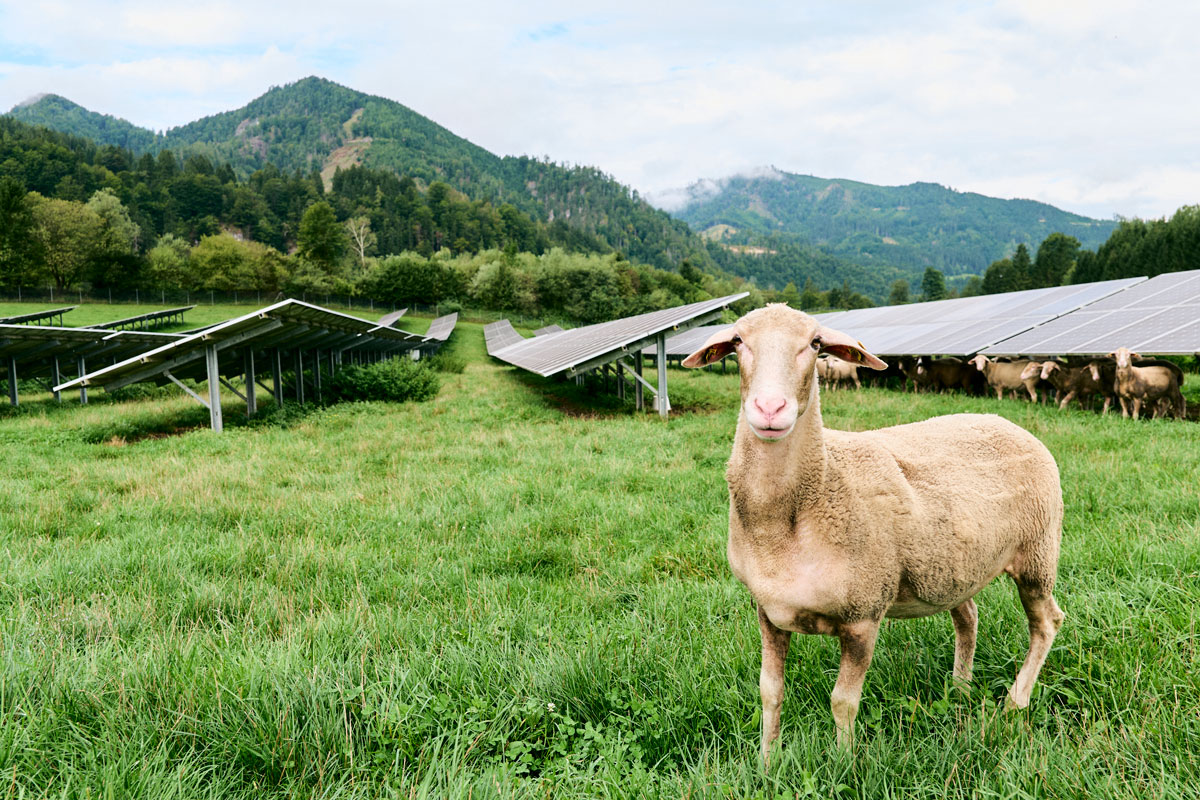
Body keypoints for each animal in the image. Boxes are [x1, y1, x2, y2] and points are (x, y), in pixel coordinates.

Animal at [682, 304, 1065, 760]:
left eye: (815, 344)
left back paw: (1015, 701)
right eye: (738, 341)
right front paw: (766, 762)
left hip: (1038, 552)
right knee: (968, 616)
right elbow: (770, 692)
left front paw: (844, 763)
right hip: (953, 566)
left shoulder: (863, 616)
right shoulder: (768, 611)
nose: (770, 408)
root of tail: (1007, 422)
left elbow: (842, 702)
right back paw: (959, 687)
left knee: (1047, 623)